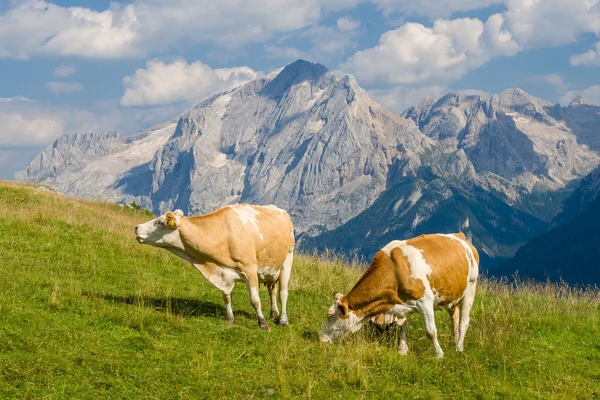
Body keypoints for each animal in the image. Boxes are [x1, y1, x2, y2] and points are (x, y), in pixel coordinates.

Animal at [135, 205, 296, 330]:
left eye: (160, 222)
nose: (136, 227)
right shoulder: (225, 275)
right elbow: (227, 296)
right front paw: (230, 318)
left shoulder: (250, 269)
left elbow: (254, 300)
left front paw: (263, 323)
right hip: (272, 269)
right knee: (272, 290)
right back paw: (274, 313)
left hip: (288, 259)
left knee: (283, 292)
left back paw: (283, 320)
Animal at [318, 233, 478, 358]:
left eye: (330, 315)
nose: (320, 338)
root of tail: (461, 236)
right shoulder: (402, 305)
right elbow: (403, 326)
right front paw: (402, 350)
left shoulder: (424, 301)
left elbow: (431, 331)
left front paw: (439, 354)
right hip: (453, 294)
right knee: (454, 317)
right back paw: (455, 341)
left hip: (471, 288)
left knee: (464, 321)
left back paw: (459, 348)